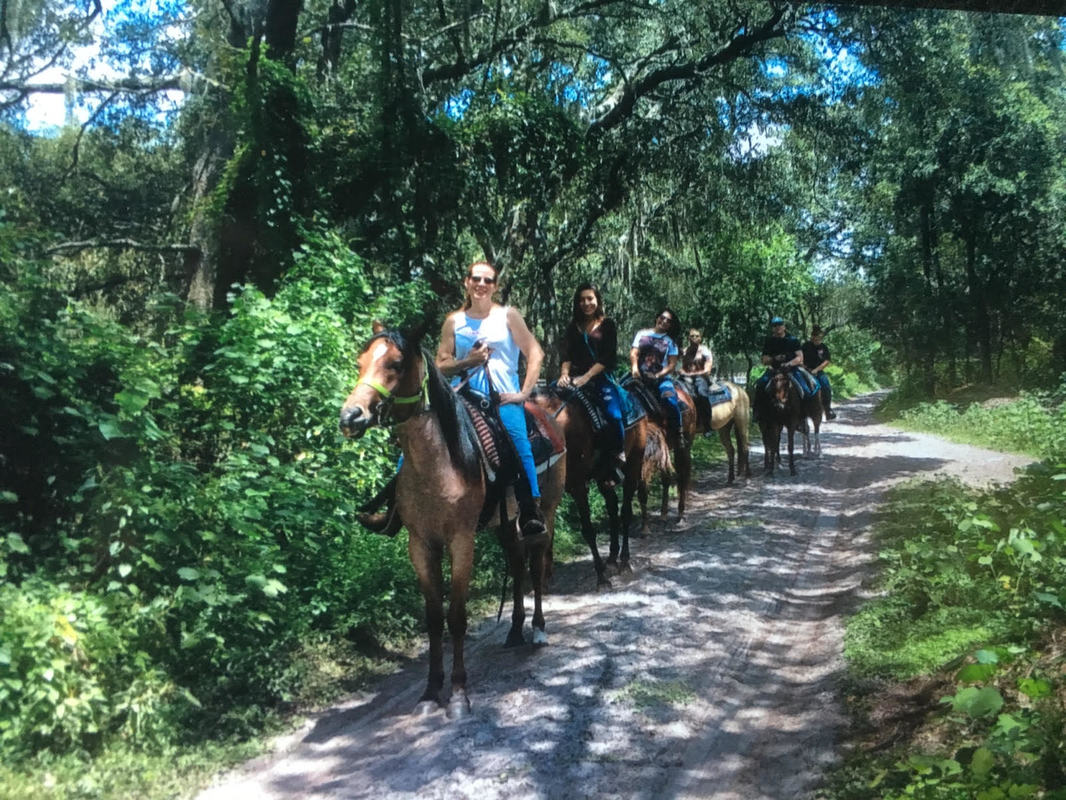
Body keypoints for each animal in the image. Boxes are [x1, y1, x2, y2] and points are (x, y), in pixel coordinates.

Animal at [341, 326, 567, 721]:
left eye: (396, 364)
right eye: (360, 362)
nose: (351, 416)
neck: (438, 465)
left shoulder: (461, 541)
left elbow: (457, 616)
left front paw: (459, 695)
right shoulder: (420, 544)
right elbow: (434, 619)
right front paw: (431, 692)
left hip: (547, 512)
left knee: (537, 565)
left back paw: (538, 630)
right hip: (505, 524)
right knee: (517, 565)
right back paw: (515, 631)